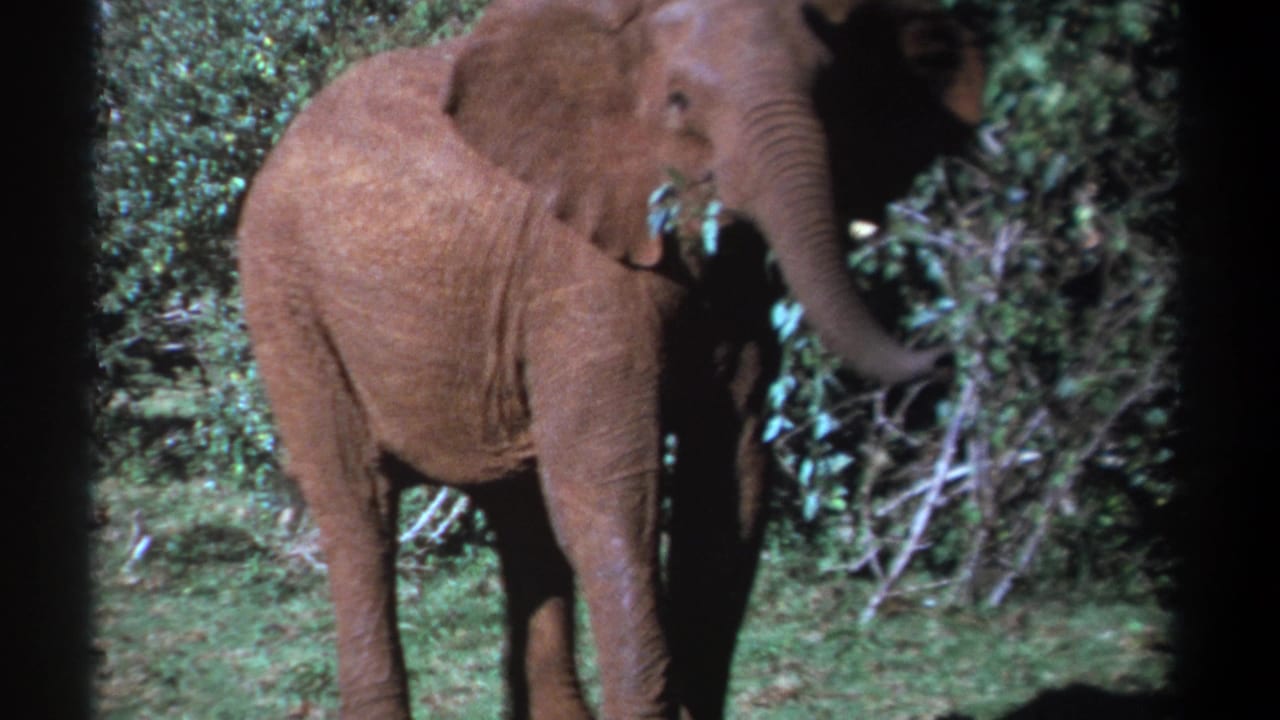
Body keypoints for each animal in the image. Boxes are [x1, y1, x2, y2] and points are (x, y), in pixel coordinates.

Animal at [237, 0, 983, 717]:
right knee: (358, 506)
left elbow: (730, 485)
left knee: (522, 517)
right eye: (679, 101)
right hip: (286, 299)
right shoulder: (578, 266)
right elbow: (609, 490)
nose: (945, 352)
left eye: (832, 90)